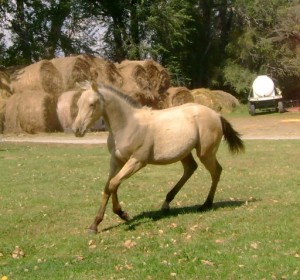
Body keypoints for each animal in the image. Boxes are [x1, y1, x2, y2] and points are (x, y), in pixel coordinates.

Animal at [72, 81, 244, 234]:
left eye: (92, 104)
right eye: (78, 104)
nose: (76, 129)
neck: (128, 125)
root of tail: (216, 114)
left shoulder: (137, 161)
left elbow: (114, 183)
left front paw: (122, 214)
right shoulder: (116, 161)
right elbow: (109, 186)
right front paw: (95, 225)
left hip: (205, 153)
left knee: (216, 172)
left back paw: (206, 204)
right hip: (185, 152)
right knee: (191, 169)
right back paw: (166, 203)